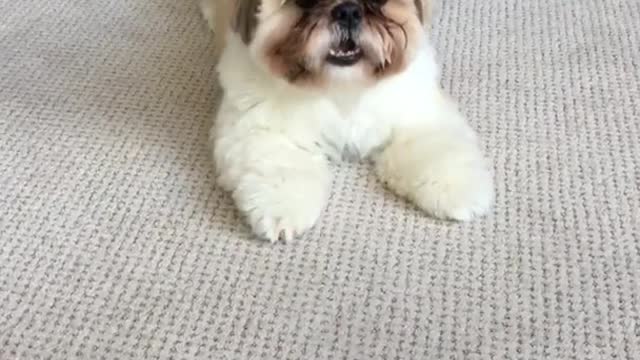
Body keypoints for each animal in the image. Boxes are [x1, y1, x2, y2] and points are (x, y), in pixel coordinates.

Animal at [200, 0, 496, 242]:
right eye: (306, 0)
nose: (348, 10)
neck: (343, 88)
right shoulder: (256, 129)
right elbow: (282, 166)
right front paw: (282, 209)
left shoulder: (416, 112)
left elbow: (433, 150)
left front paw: (455, 189)